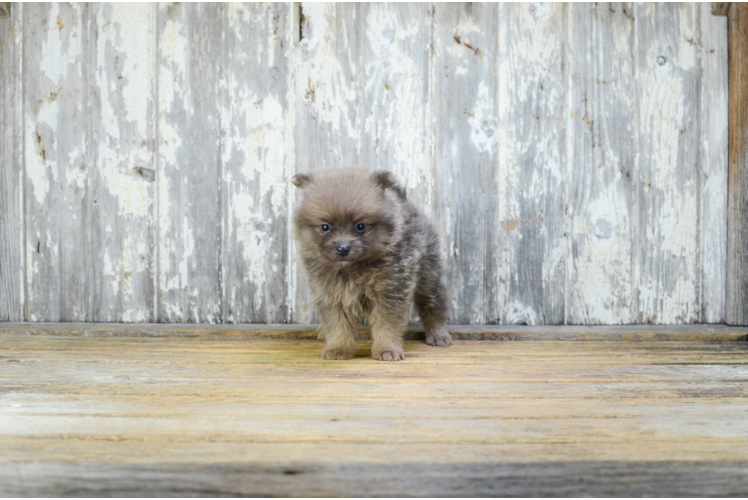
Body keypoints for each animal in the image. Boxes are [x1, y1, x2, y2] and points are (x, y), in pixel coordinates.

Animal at [292, 166, 450, 362]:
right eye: (325, 227)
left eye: (360, 226)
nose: (343, 248)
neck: (351, 269)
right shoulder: (330, 294)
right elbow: (337, 325)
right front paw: (338, 348)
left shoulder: (390, 291)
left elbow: (387, 325)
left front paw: (387, 349)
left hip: (428, 277)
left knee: (434, 306)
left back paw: (438, 334)